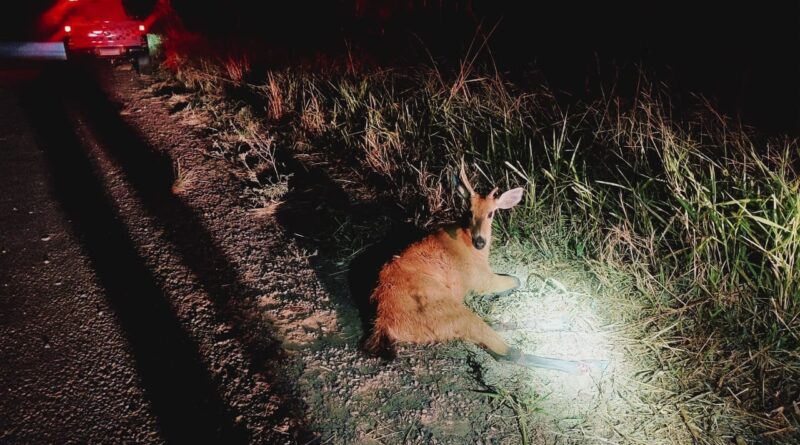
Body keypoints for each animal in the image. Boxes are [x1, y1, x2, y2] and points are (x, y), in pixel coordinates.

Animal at [364, 161, 609, 374]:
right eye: (469, 211)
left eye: (491, 213)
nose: (480, 241)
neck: (471, 247)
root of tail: (384, 324)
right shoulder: (480, 279)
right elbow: (517, 279)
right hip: (446, 310)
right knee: (508, 352)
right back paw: (590, 364)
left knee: (493, 326)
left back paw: (569, 322)